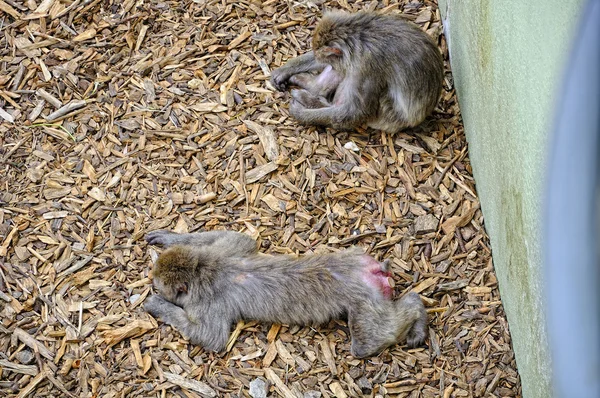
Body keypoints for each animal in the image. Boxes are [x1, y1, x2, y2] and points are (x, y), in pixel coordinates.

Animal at [144, 227, 428, 358]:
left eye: (159, 285)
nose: (152, 281)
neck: (202, 270)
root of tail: (372, 271)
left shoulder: (208, 303)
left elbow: (211, 337)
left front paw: (157, 305)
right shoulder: (223, 251)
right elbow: (238, 237)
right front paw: (171, 238)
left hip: (366, 301)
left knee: (367, 343)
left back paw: (416, 308)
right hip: (356, 256)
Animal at [270, 10, 442, 132]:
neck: (358, 39)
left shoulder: (366, 66)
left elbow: (355, 113)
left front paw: (301, 114)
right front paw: (285, 70)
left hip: (388, 116)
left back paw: (311, 98)